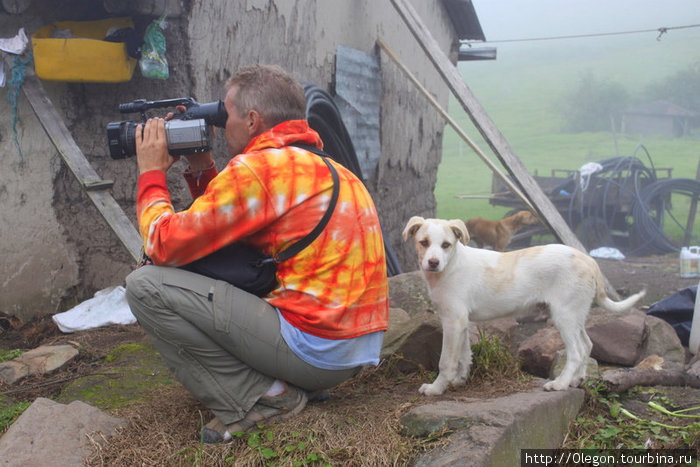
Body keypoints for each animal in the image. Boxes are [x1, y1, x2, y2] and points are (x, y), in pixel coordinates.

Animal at [402, 216, 644, 394]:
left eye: (446, 245)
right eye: (423, 242)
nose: (433, 263)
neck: (451, 265)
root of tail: (588, 260)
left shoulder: (452, 321)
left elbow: (446, 361)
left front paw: (436, 388)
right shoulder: (461, 322)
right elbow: (464, 355)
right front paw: (460, 380)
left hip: (563, 316)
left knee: (576, 351)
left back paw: (560, 384)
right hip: (576, 315)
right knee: (587, 345)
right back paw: (577, 380)